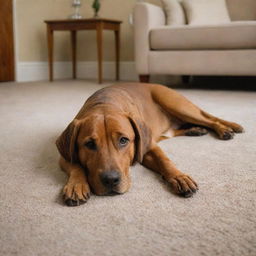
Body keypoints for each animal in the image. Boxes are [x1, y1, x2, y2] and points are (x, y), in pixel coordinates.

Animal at [56, 83, 244, 207]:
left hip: (178, 105)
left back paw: (227, 127)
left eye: (123, 140)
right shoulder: (64, 155)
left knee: (210, 118)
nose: (111, 180)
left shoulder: (149, 146)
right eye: (89, 144)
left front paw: (178, 177)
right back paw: (195, 130)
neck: (104, 104)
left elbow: (164, 160)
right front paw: (76, 185)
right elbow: (76, 166)